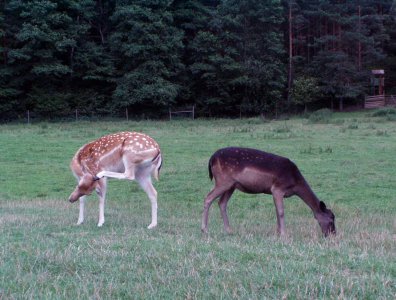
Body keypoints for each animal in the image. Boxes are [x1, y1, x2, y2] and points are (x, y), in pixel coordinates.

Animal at [201, 147, 334, 237]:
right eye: (331, 220)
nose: (332, 234)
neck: (295, 183)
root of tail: (211, 159)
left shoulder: (274, 192)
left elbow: (276, 211)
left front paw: (277, 232)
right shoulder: (278, 188)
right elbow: (281, 212)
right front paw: (284, 234)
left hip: (231, 185)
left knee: (222, 203)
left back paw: (229, 230)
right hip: (223, 181)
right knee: (208, 198)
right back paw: (205, 229)